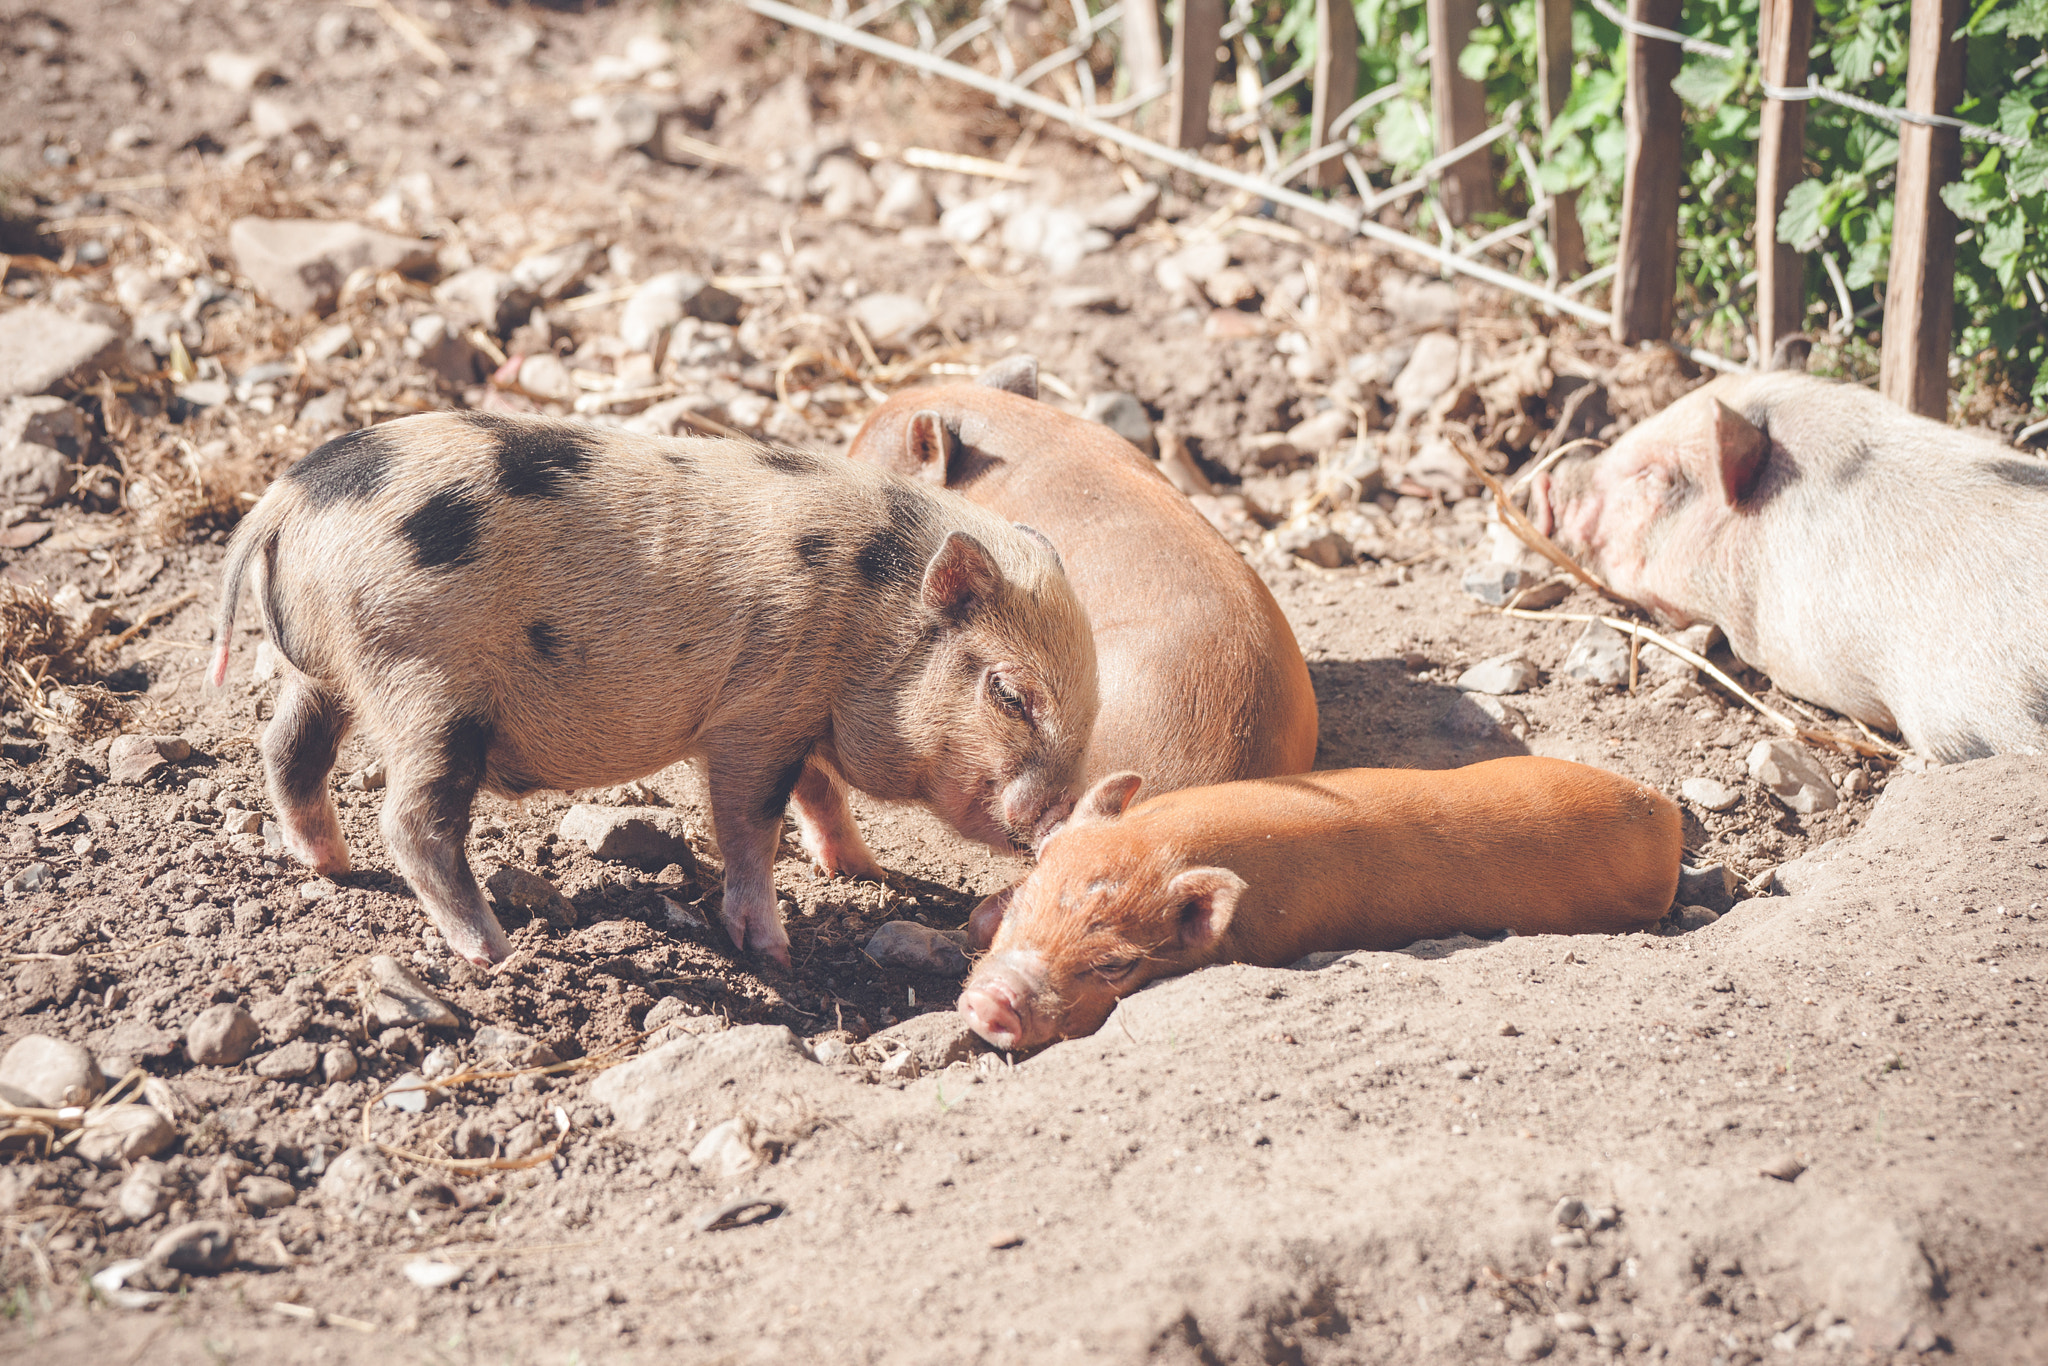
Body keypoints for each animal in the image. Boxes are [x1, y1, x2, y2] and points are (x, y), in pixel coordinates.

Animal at [209, 411, 1097, 966]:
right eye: (1010, 694)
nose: (1060, 817)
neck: (872, 614)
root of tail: (287, 498)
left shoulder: (797, 710)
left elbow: (819, 795)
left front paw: (866, 870)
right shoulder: (756, 714)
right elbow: (749, 823)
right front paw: (775, 951)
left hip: (323, 669)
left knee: (285, 747)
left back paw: (328, 864)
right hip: (423, 682)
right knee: (413, 820)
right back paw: (495, 952)